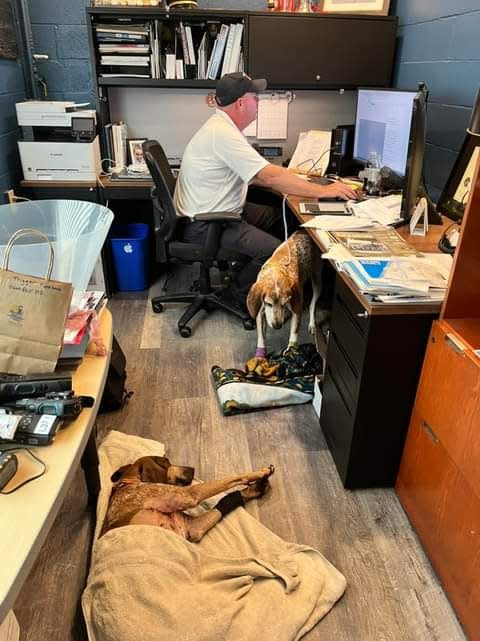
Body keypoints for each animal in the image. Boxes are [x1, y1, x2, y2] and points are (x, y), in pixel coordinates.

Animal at [101, 452, 274, 544]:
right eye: (166, 462)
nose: (193, 468)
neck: (129, 484)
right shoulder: (189, 494)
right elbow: (232, 478)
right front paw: (259, 473)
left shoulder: (192, 528)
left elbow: (228, 499)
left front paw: (254, 489)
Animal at [248, 229, 322, 358]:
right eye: (268, 304)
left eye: (284, 303)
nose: (277, 326)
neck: (277, 269)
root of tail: (304, 231)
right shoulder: (260, 312)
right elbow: (261, 338)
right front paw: (260, 356)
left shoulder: (297, 310)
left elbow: (294, 335)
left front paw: (291, 350)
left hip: (317, 281)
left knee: (313, 304)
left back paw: (312, 323)